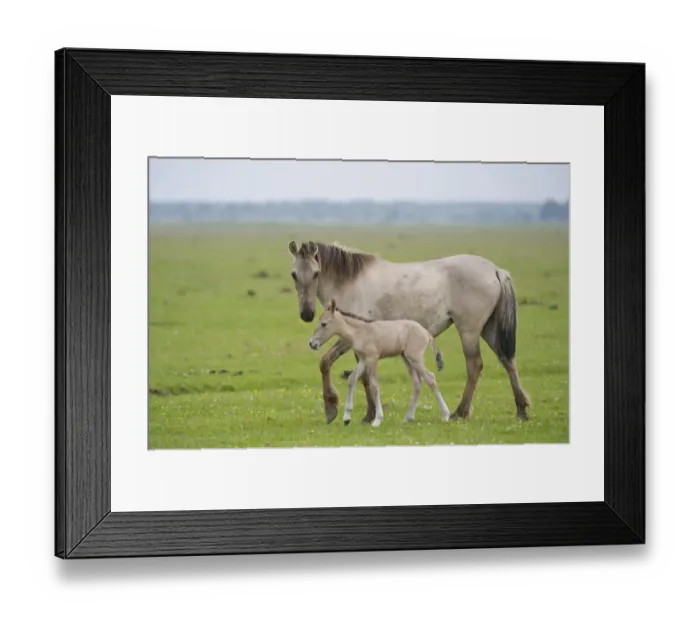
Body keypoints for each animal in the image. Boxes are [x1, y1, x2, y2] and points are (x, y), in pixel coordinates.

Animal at [308, 298, 451, 427]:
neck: (360, 331)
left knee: (430, 378)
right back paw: (408, 417)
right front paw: (347, 418)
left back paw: (446, 415)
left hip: (415, 358)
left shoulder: (372, 358)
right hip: (406, 358)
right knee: (417, 383)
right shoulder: (363, 360)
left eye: (324, 324)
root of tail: (425, 332)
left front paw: (377, 420)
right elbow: (351, 379)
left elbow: (374, 386)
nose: (311, 343)